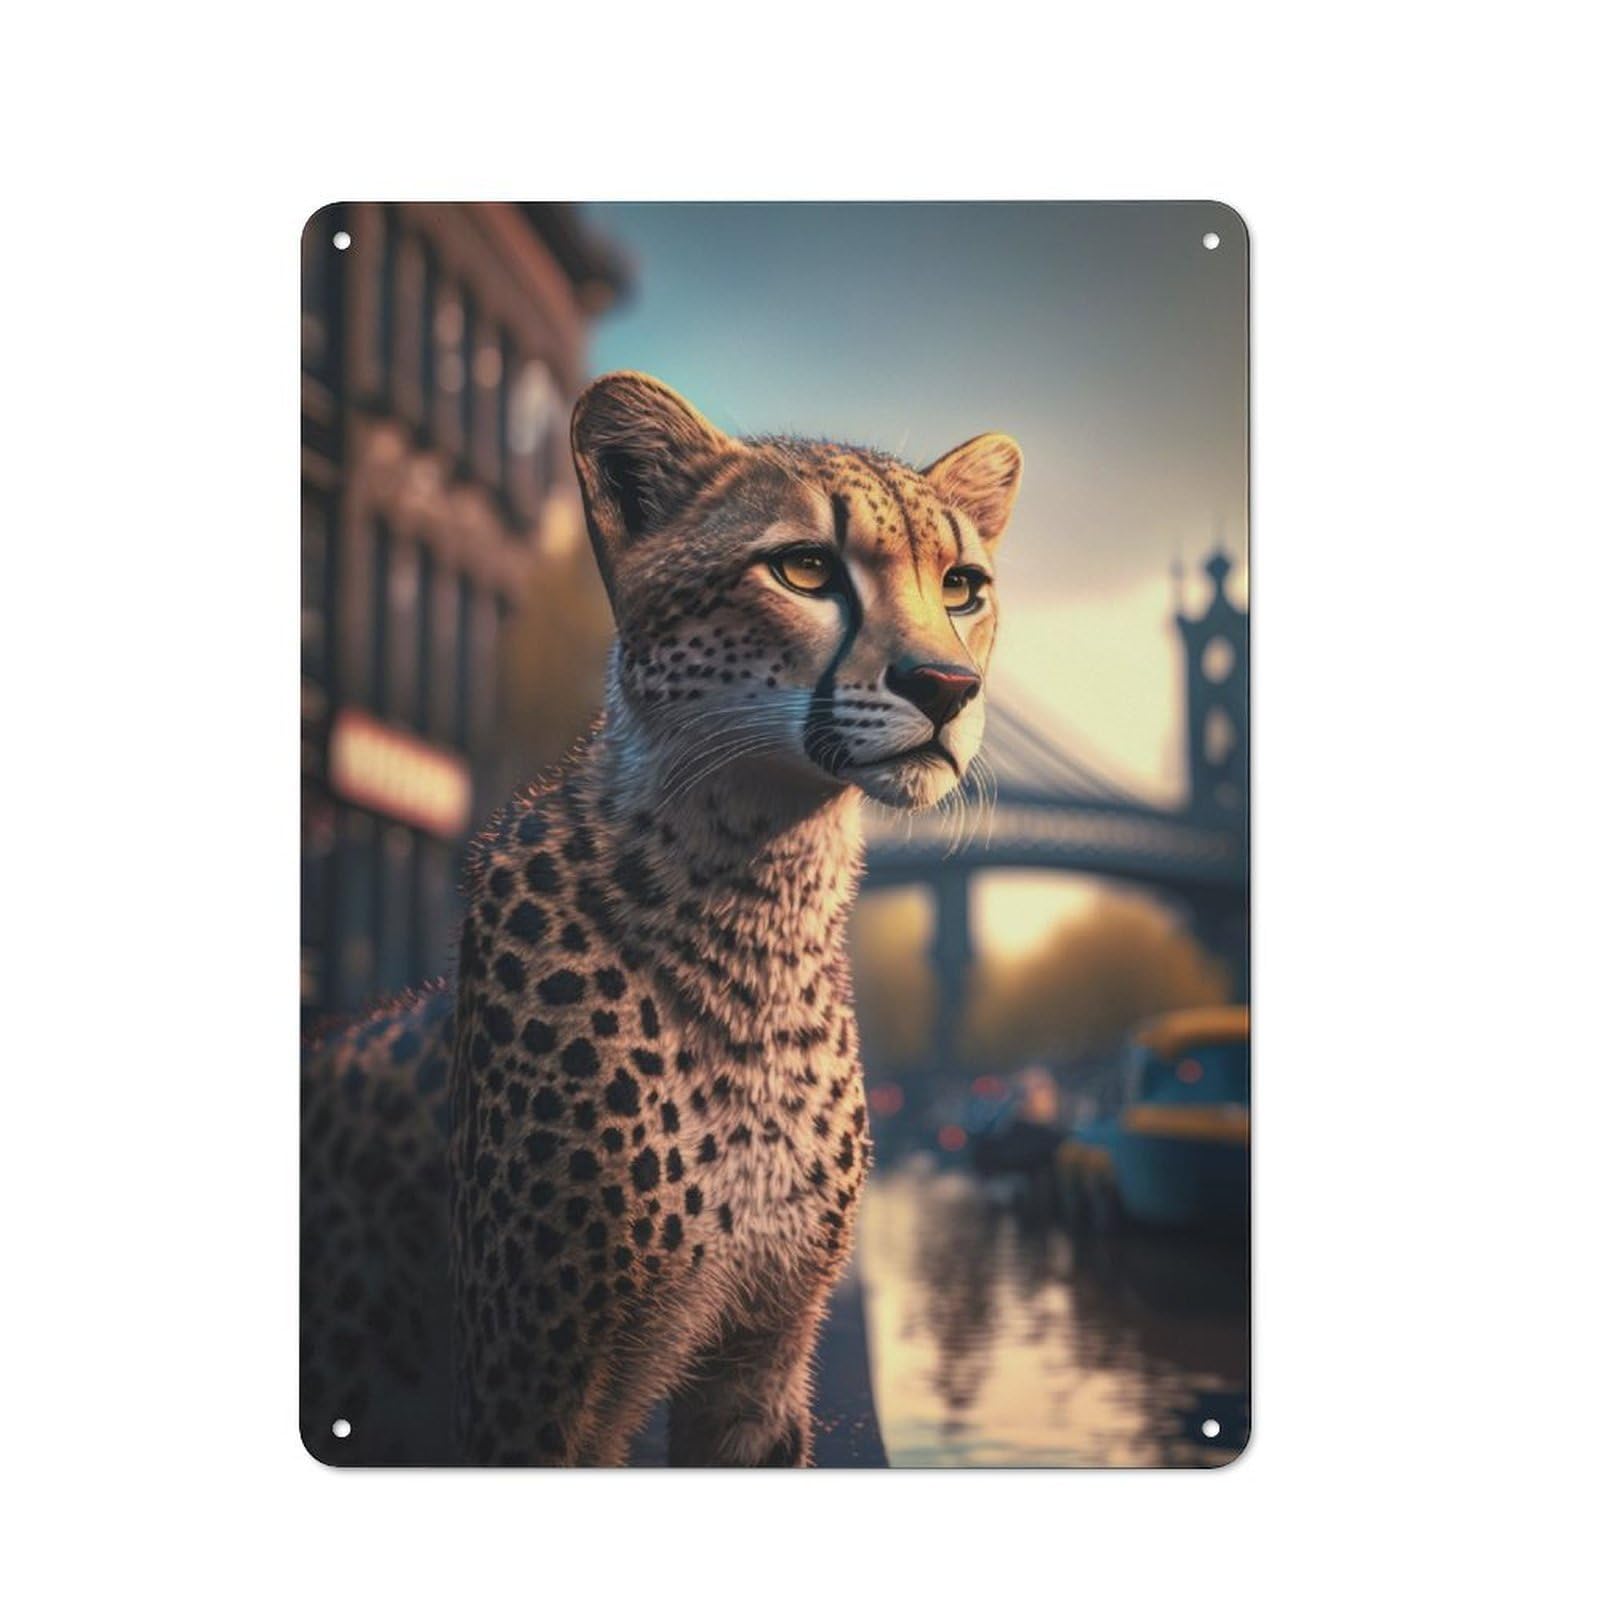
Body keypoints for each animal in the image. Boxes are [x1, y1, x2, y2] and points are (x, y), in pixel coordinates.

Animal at [301, 371, 1021, 1466]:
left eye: (962, 586)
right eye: (805, 567)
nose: (946, 687)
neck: (758, 897)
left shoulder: (758, 1364)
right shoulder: (529, 1388)